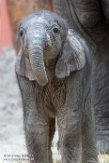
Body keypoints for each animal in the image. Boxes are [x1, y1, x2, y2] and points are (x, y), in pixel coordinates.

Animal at [15, 10, 98, 163]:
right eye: (21, 33)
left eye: (55, 30)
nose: (44, 81)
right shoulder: (23, 74)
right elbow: (35, 121)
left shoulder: (77, 71)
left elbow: (68, 118)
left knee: (86, 119)